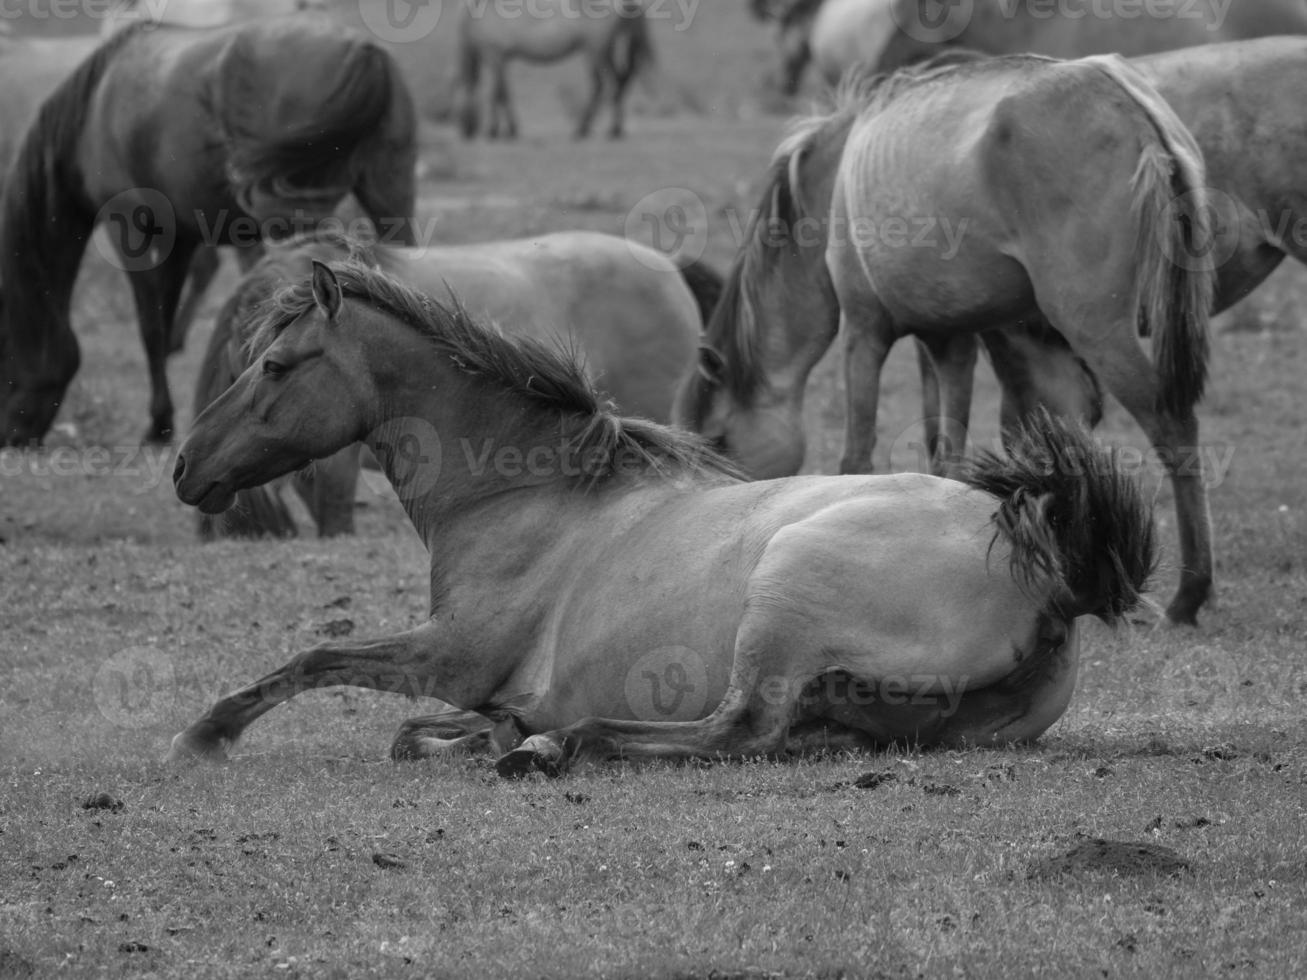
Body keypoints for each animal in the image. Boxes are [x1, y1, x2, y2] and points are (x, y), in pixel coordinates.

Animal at [0, 15, 418, 446]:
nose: (10, 437)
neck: (93, 108)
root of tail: (363, 52)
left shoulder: (126, 225)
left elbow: (150, 325)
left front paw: (158, 424)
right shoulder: (178, 237)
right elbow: (164, 314)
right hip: (390, 195)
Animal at [454, 0, 653, 139]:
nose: (466, 131)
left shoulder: (494, 56)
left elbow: (497, 93)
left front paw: (494, 130)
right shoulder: (502, 60)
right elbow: (504, 93)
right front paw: (511, 129)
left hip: (596, 49)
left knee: (604, 83)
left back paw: (588, 128)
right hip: (604, 49)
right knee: (618, 81)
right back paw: (610, 128)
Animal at [679, 57, 1218, 624]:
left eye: (718, 440)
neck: (832, 180)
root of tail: (1129, 101)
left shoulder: (864, 334)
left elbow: (858, 454)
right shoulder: (948, 341)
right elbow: (946, 455)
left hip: (1097, 329)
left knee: (1173, 425)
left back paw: (1189, 593)